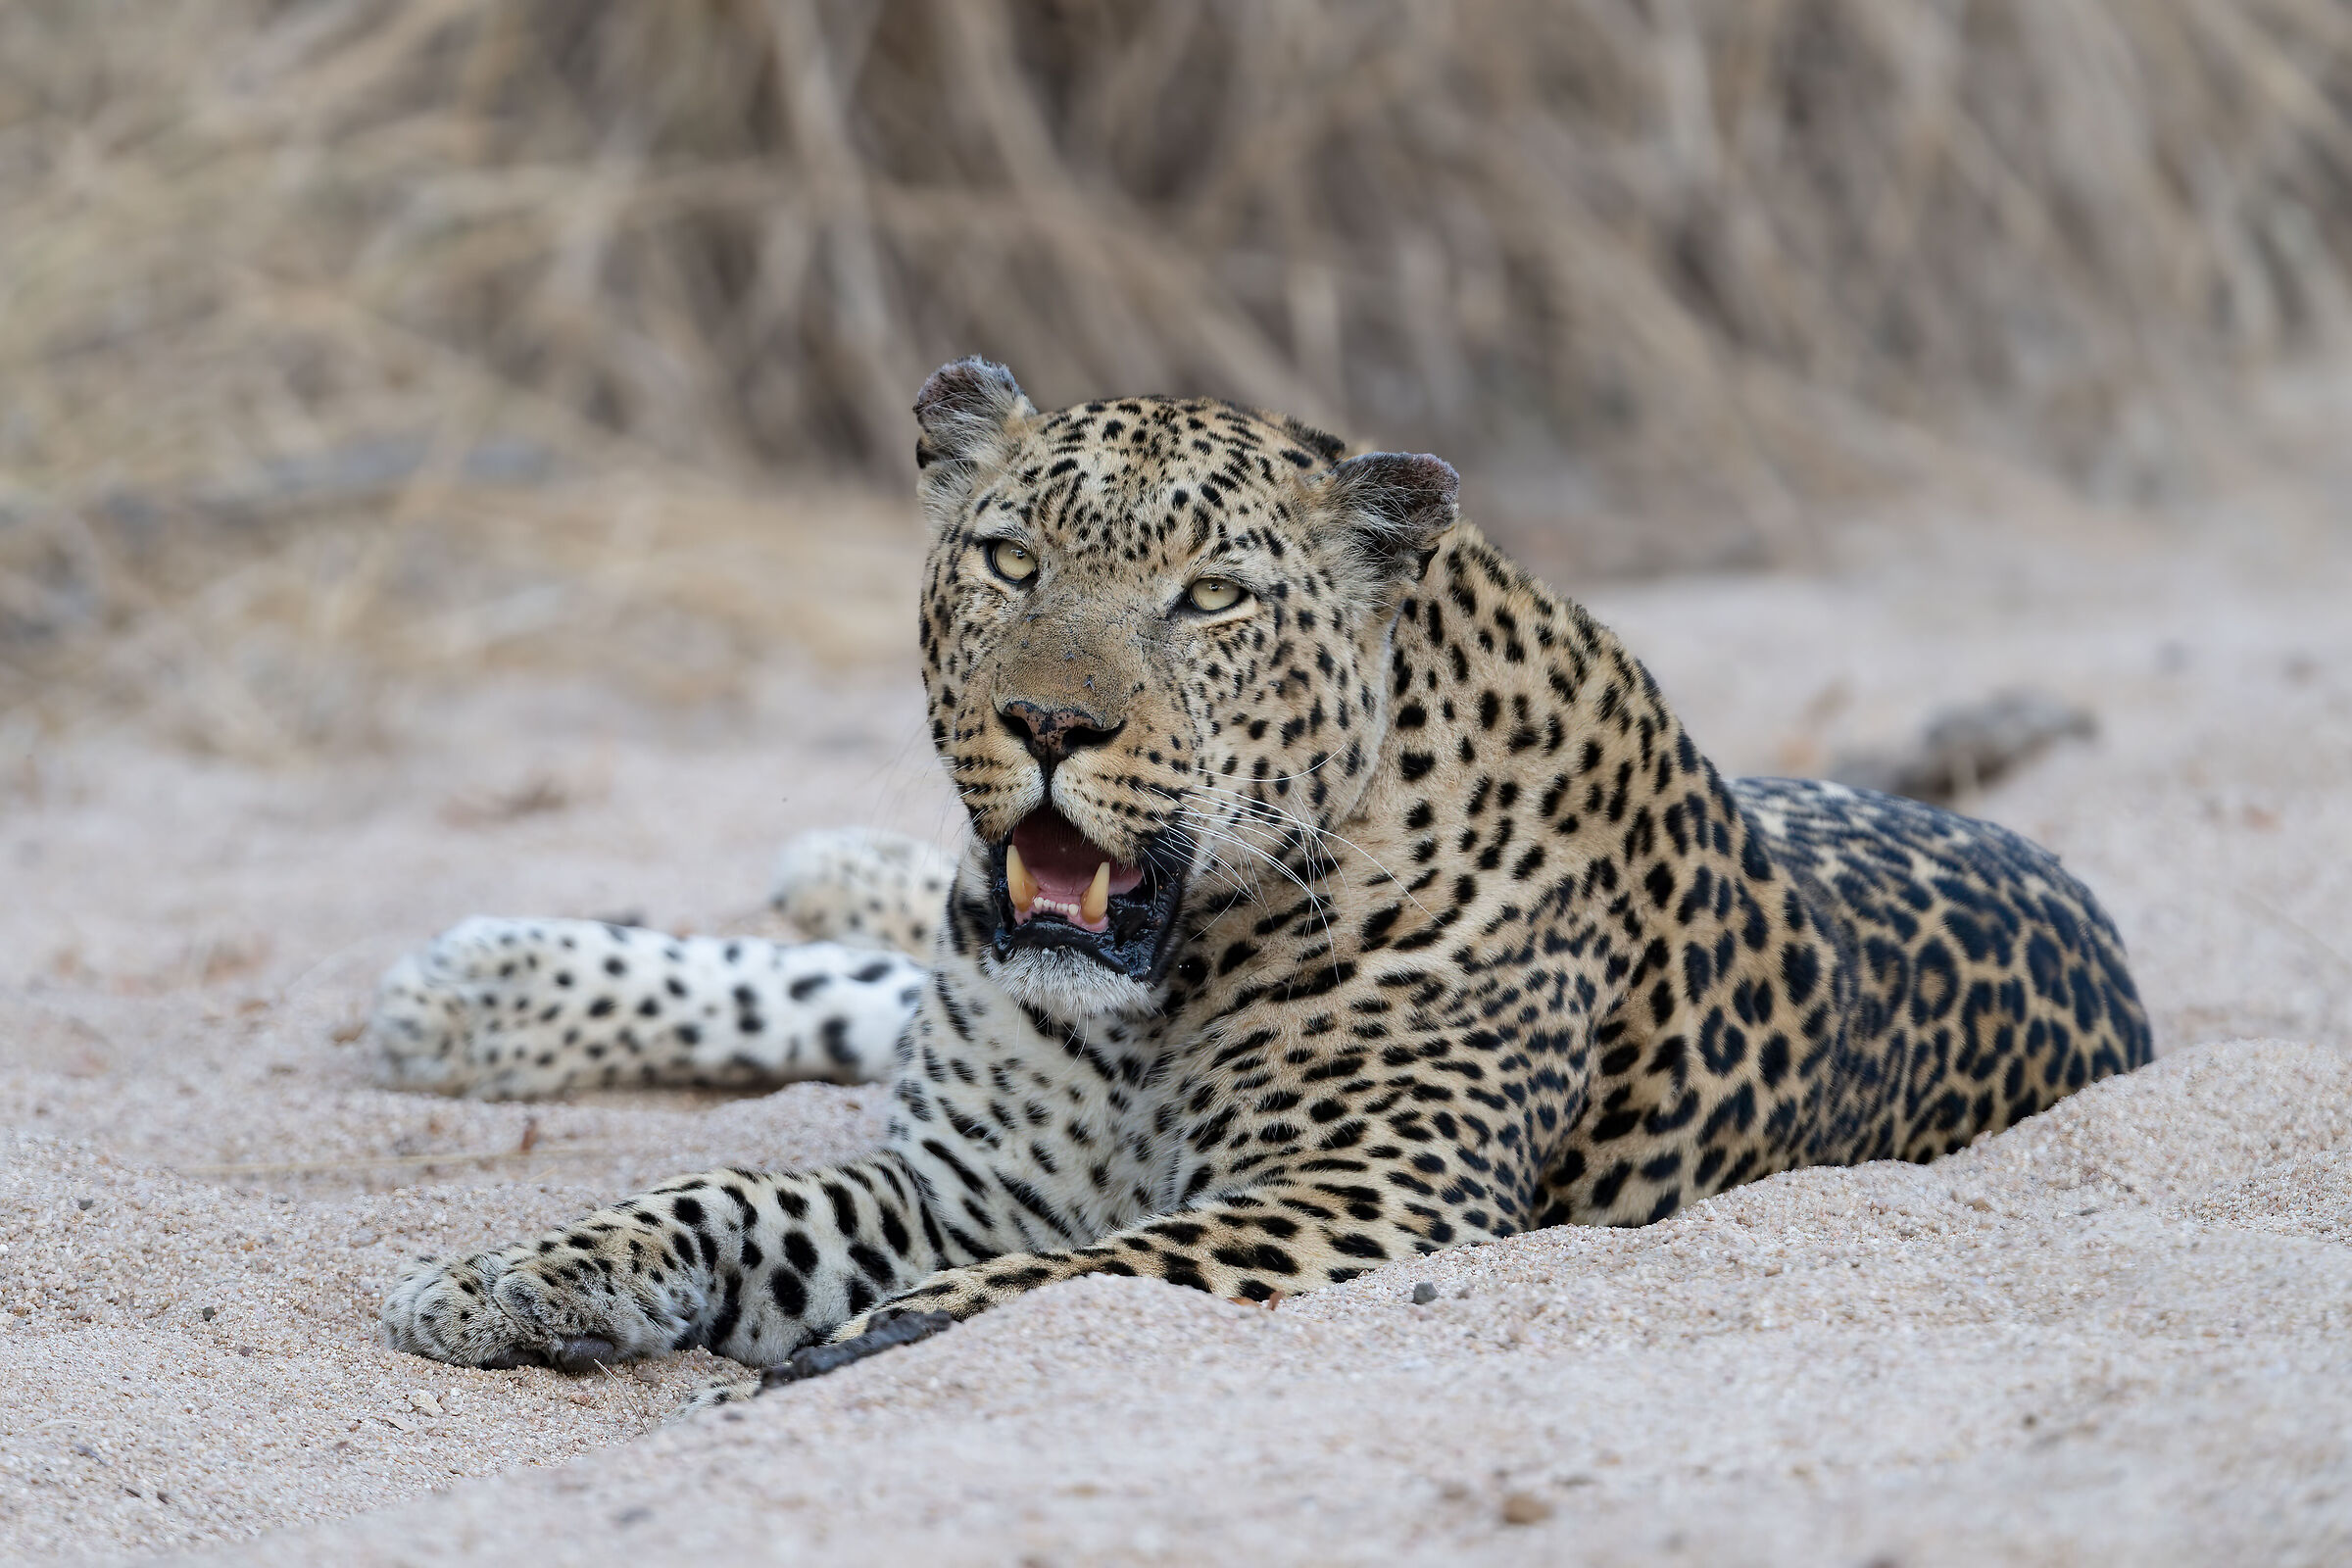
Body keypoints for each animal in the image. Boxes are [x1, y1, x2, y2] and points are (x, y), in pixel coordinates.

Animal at [374, 356, 2152, 1409]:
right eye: (1011, 558)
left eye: (1211, 598)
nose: (1048, 724)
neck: (1151, 1007)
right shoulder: (973, 1172)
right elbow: (737, 1194)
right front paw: (521, 1273)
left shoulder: (1362, 1199)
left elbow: (1081, 1272)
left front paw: (844, 1351)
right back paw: (488, 989)